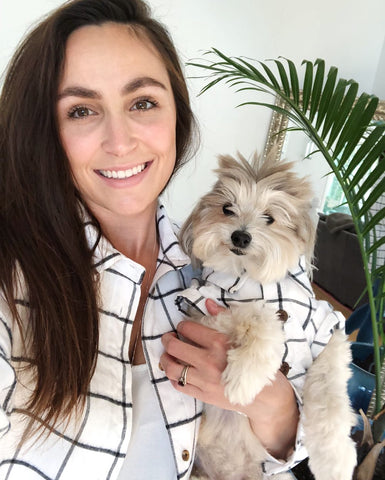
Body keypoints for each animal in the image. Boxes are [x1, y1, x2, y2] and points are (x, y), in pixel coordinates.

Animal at [176, 153, 356, 480]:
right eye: (227, 208)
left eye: (270, 218)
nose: (240, 236)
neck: (255, 276)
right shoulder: (201, 308)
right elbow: (257, 313)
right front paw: (245, 377)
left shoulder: (327, 330)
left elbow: (330, 394)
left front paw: (335, 460)